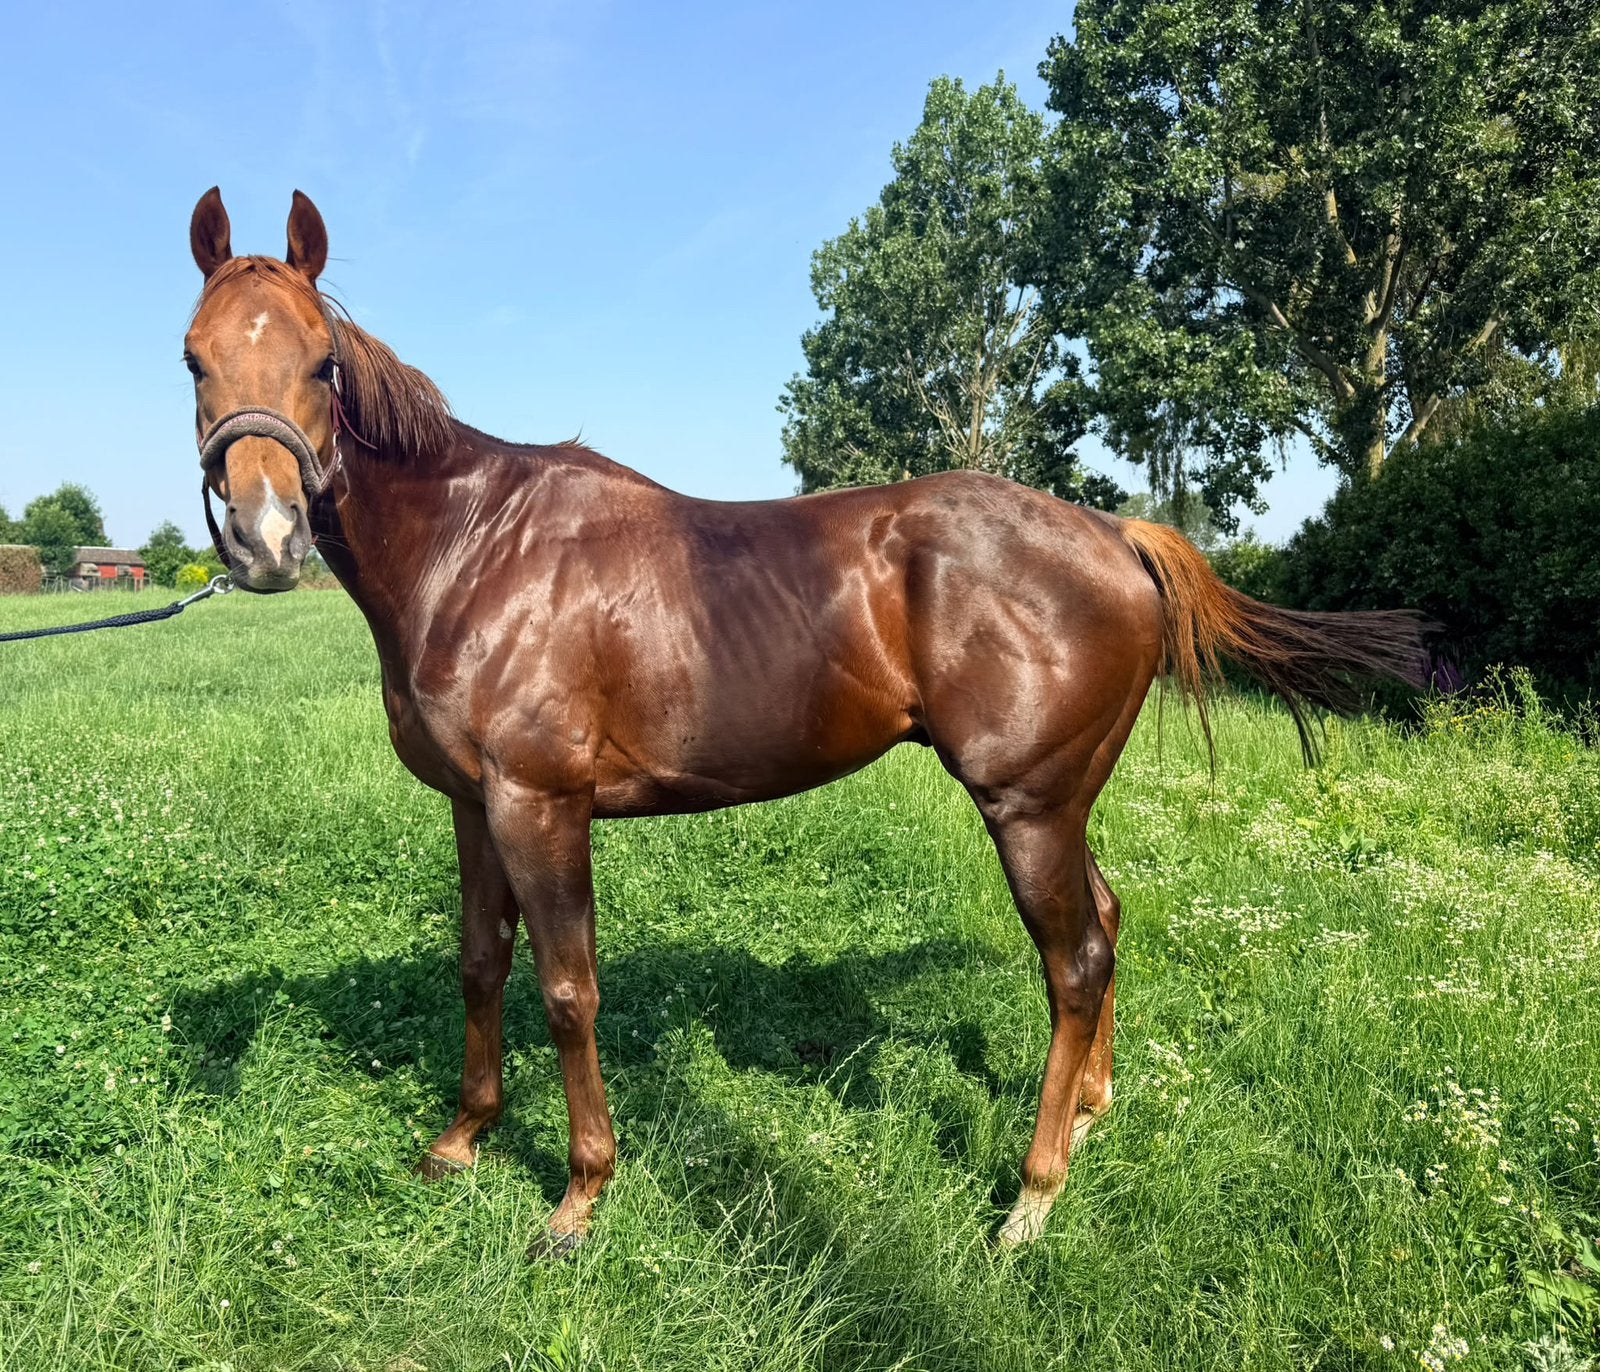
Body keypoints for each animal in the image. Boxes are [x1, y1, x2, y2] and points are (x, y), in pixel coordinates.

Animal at [182, 187, 1427, 1255]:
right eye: (194, 355)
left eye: (322, 360)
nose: (264, 538)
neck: (478, 546)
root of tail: (1114, 533)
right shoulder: (473, 806)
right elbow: (481, 964)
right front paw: (462, 1138)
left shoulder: (541, 808)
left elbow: (569, 991)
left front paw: (581, 1194)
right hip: (1065, 802)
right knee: (1110, 925)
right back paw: (1089, 1111)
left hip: (1028, 807)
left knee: (1072, 963)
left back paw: (1032, 1196)